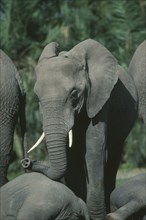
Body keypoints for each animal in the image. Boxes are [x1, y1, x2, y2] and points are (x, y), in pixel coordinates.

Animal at [25, 39, 138, 220]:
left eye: (74, 94)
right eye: (37, 97)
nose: (27, 161)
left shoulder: (100, 100)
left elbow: (93, 150)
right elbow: (71, 158)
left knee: (113, 155)